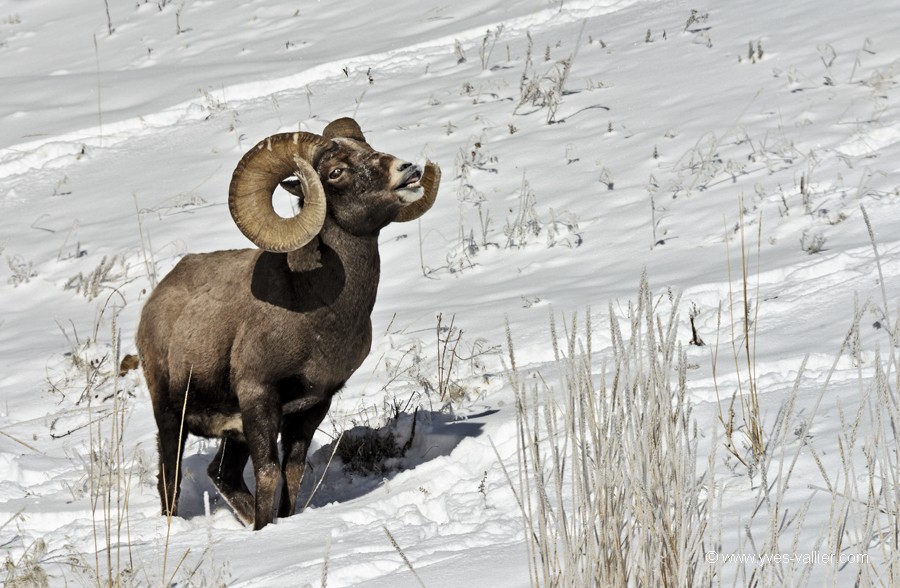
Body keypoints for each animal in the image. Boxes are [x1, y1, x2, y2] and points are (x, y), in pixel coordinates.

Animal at [136, 118, 440, 528]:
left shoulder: (313, 405)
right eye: (336, 172)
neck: (313, 308)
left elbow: (291, 471)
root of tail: (155, 302)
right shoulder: (259, 397)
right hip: (172, 417)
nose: (407, 170)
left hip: (231, 432)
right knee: (170, 483)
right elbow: (268, 472)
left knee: (222, 474)